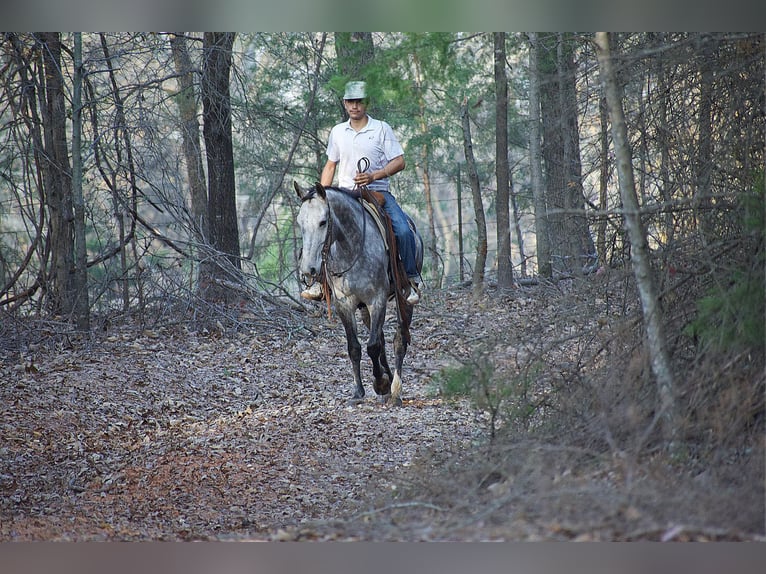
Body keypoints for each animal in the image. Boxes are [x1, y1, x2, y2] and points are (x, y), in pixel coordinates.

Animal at [294, 181, 423, 406]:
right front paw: (359, 392)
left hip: (404, 297)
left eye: (323, 222)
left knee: (399, 339)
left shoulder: (377, 300)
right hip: (365, 310)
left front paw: (380, 383)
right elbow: (354, 347)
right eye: (300, 223)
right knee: (381, 337)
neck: (350, 248)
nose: (308, 270)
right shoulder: (344, 305)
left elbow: (372, 346)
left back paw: (395, 390)